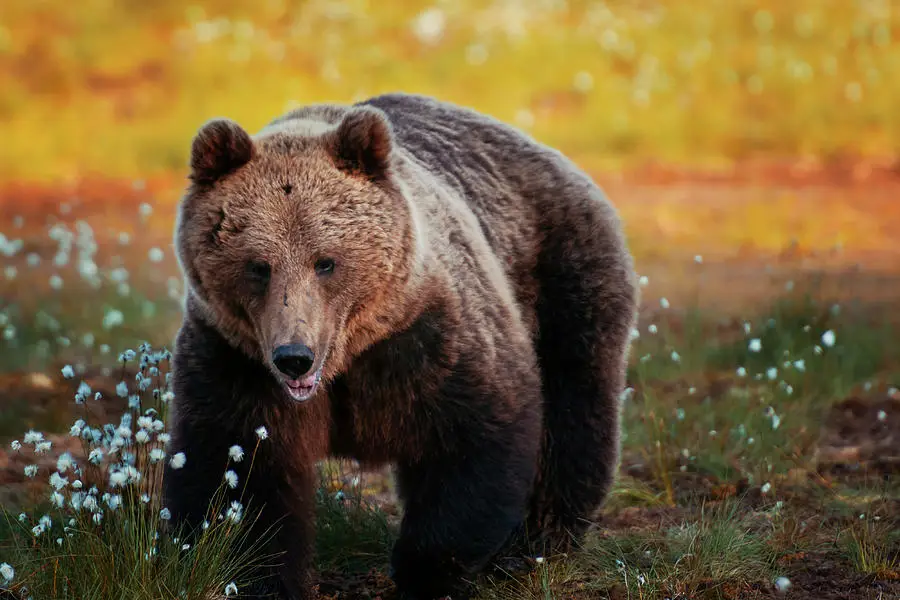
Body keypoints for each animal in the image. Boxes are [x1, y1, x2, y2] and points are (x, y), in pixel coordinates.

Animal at [163, 90, 640, 600]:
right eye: (258, 266)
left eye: (326, 262)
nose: (294, 358)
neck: (348, 359)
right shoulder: (236, 359)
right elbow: (238, 469)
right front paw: (253, 572)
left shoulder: (431, 339)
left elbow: (475, 439)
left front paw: (427, 570)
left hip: (563, 279)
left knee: (574, 411)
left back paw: (535, 545)